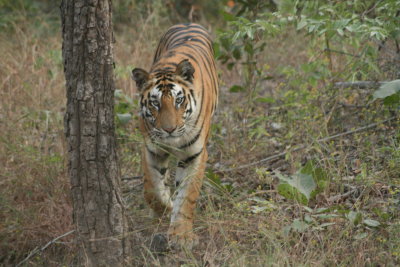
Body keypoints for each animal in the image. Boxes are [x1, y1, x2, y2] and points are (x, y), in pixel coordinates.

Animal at [131, 23, 219, 249]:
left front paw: (181, 235)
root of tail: (188, 23)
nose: (169, 129)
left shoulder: (194, 154)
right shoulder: (151, 149)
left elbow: (187, 195)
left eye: (179, 100)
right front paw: (165, 210)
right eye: (155, 103)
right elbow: (152, 189)